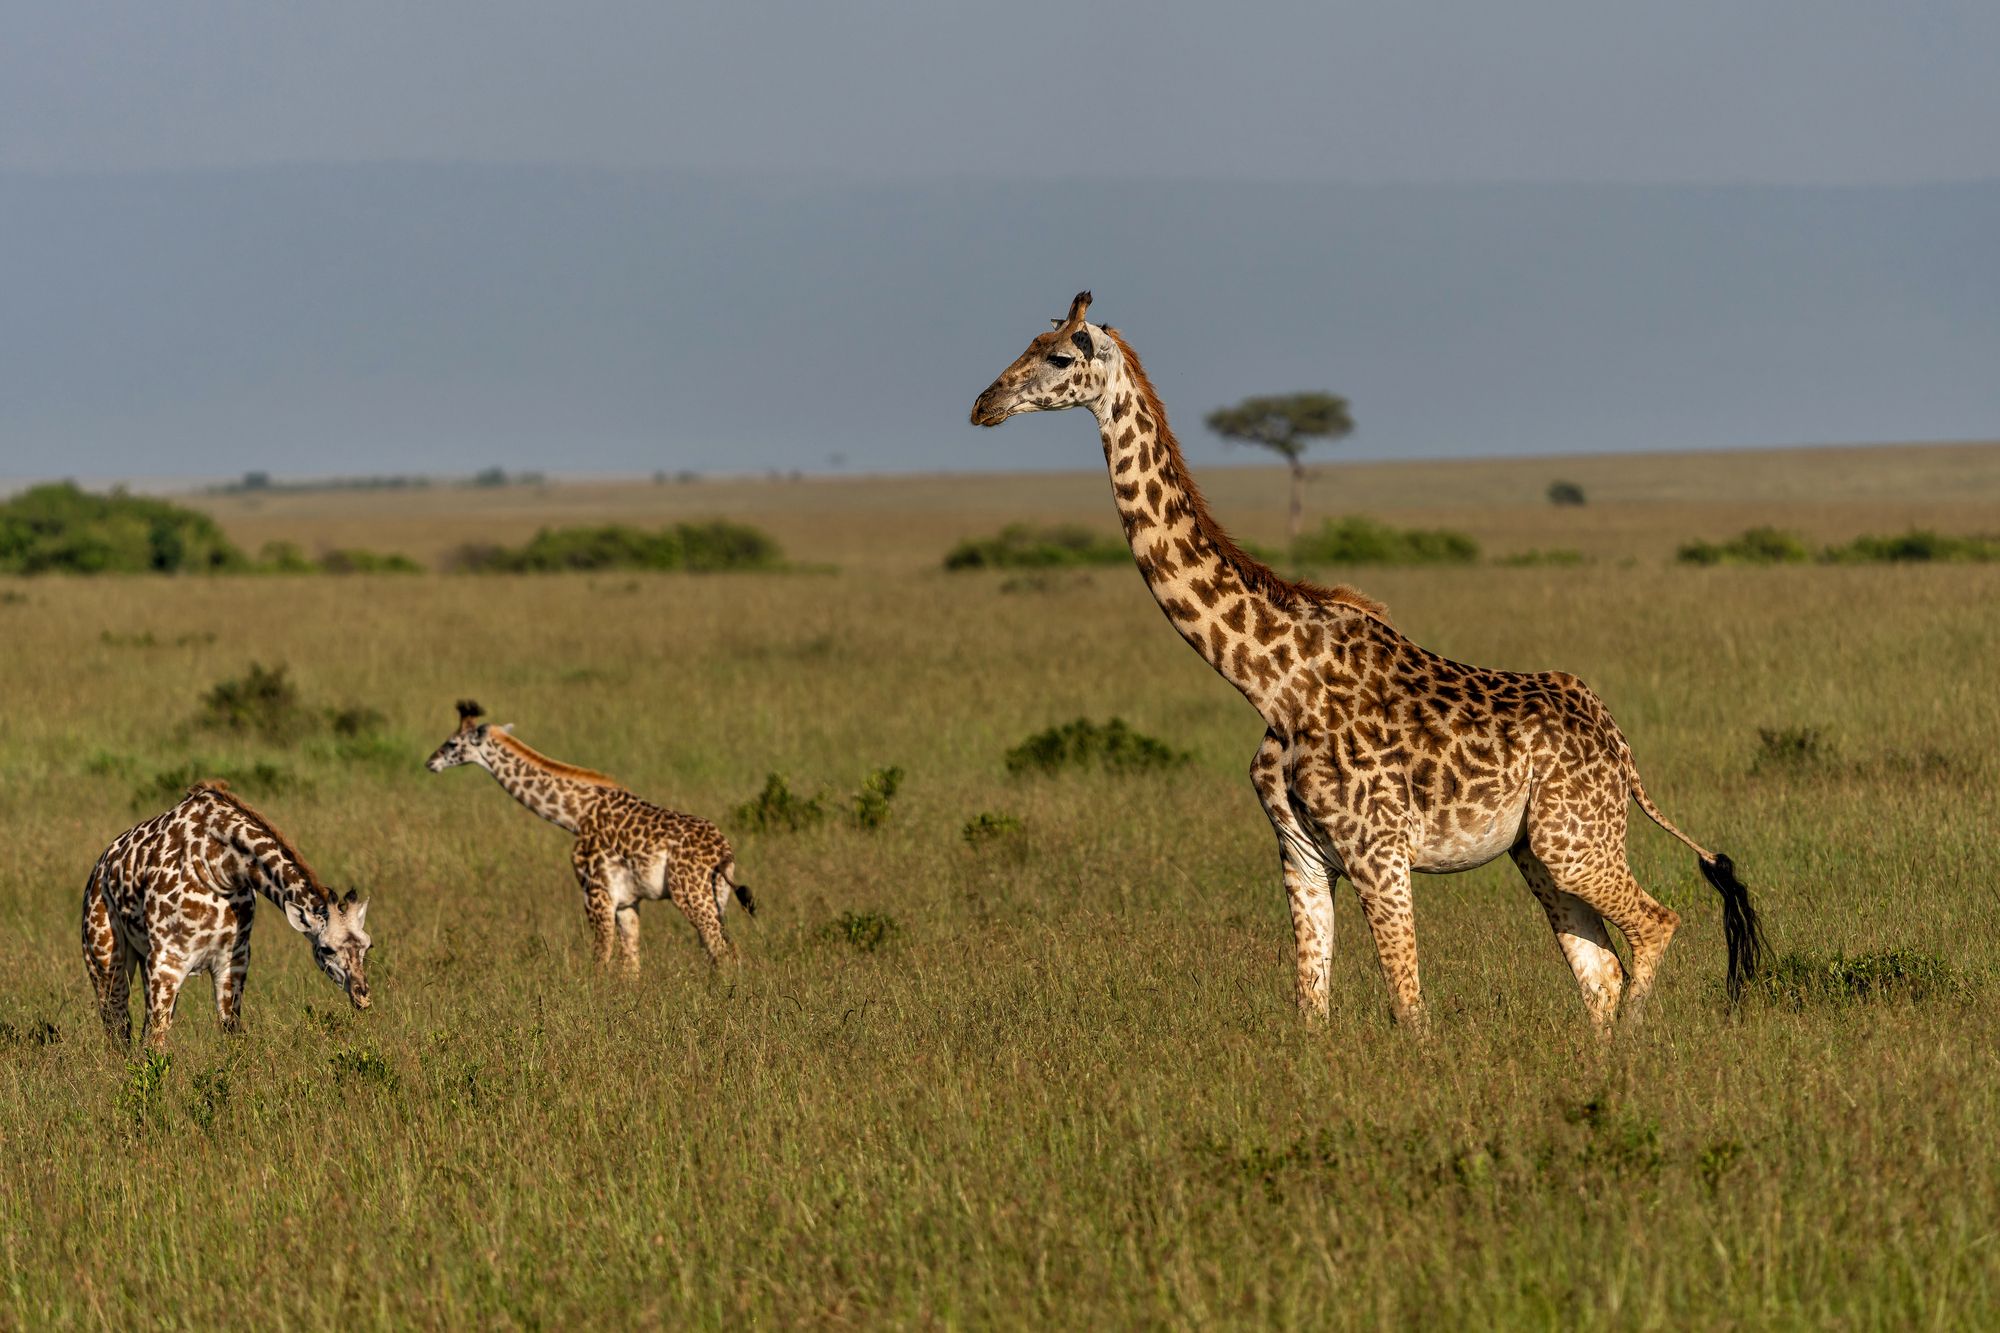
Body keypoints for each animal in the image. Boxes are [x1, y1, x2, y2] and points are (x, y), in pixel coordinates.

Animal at [82, 781, 373, 1048]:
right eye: (326, 949)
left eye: (367, 946)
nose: (363, 996)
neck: (220, 863)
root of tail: (99, 868)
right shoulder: (167, 962)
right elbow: (155, 1040)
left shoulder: (235, 959)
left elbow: (232, 1030)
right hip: (106, 962)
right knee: (118, 1028)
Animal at [425, 701, 753, 972]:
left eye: (452, 742)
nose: (430, 762)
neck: (575, 814)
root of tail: (724, 852)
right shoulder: (626, 902)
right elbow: (630, 967)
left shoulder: (595, 893)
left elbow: (600, 960)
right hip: (717, 898)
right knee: (723, 951)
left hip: (691, 895)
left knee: (723, 952)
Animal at [971, 292, 1766, 1032]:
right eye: (1027, 345)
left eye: (1059, 358)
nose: (983, 404)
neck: (1272, 683)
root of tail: (1618, 743)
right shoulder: (1300, 853)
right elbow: (1310, 1008)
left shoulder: (1377, 851)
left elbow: (1409, 1008)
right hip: (1540, 848)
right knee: (1598, 973)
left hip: (1576, 838)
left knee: (1655, 925)